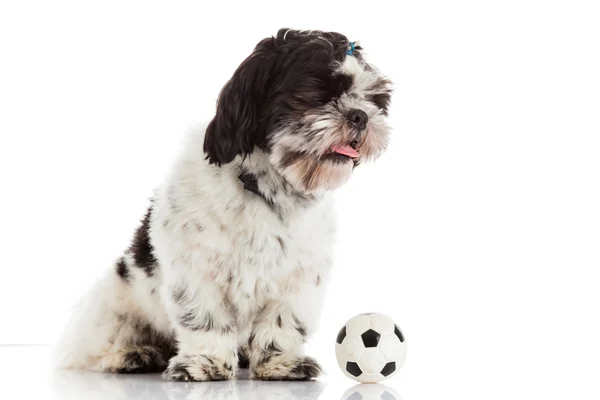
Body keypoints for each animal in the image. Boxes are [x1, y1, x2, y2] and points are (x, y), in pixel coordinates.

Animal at [55, 28, 394, 382]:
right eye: (317, 90)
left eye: (374, 100)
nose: (360, 116)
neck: (265, 190)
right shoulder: (195, 270)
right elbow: (205, 319)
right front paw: (206, 362)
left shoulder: (299, 278)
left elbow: (282, 322)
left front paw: (280, 362)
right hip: (113, 303)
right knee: (100, 346)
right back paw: (132, 354)